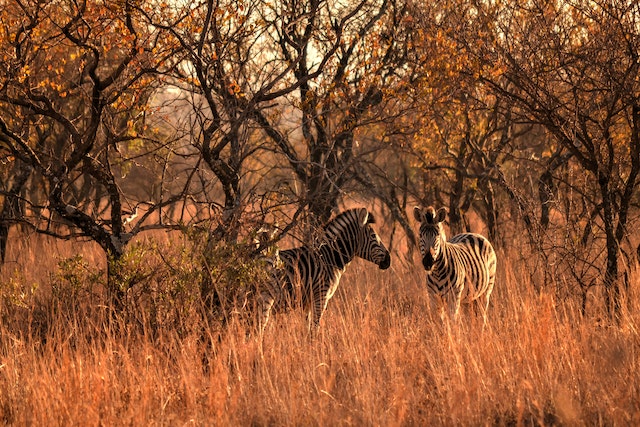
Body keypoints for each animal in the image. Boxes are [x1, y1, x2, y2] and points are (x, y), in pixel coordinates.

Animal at [258, 207, 392, 334]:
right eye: (373, 236)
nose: (388, 260)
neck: (329, 258)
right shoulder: (321, 296)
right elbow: (314, 328)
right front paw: (315, 343)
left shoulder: (308, 302)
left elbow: (307, 328)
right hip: (265, 298)